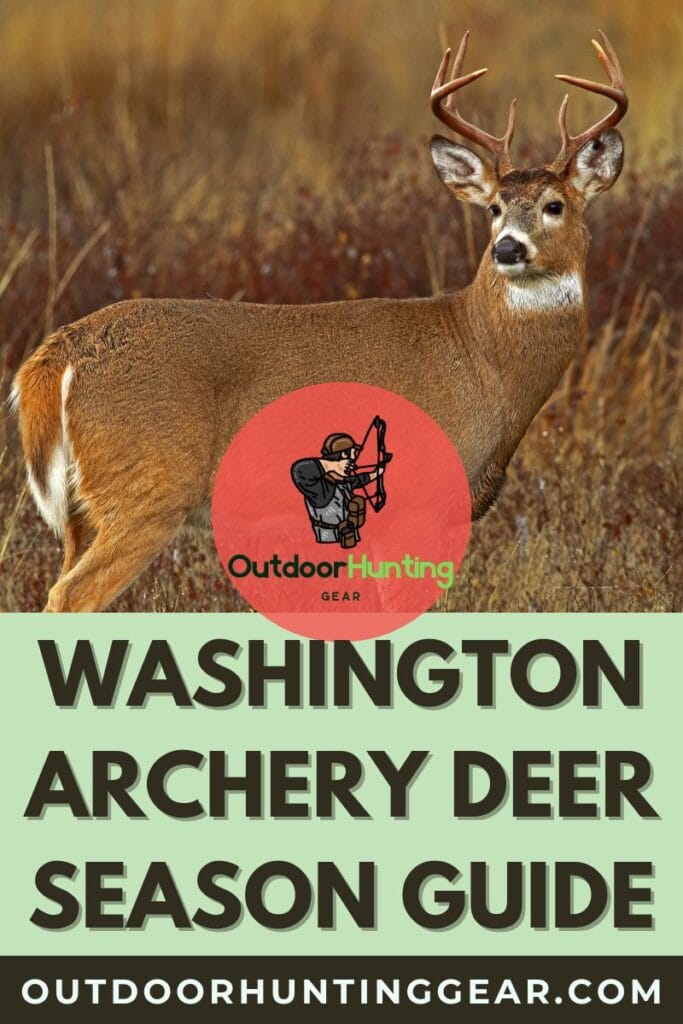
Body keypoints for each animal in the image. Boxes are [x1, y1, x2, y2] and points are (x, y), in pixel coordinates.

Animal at [11, 31, 628, 612]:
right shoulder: (415, 501)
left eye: (555, 205)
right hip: (148, 487)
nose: (506, 248)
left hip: (81, 509)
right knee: (69, 595)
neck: (479, 357)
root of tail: (57, 357)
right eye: (494, 208)